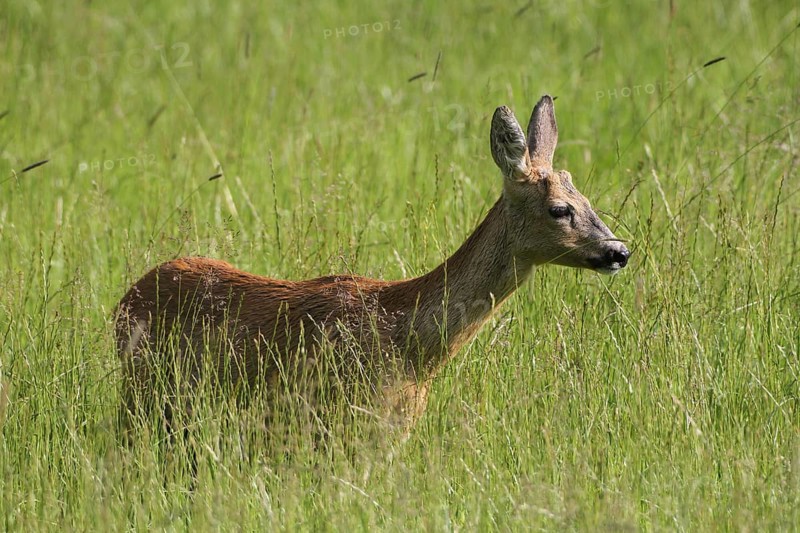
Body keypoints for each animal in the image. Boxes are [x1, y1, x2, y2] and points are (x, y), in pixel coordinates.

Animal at [115, 95, 630, 440]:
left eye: (588, 197)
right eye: (560, 209)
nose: (619, 251)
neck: (412, 347)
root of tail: (128, 296)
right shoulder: (338, 421)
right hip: (143, 394)